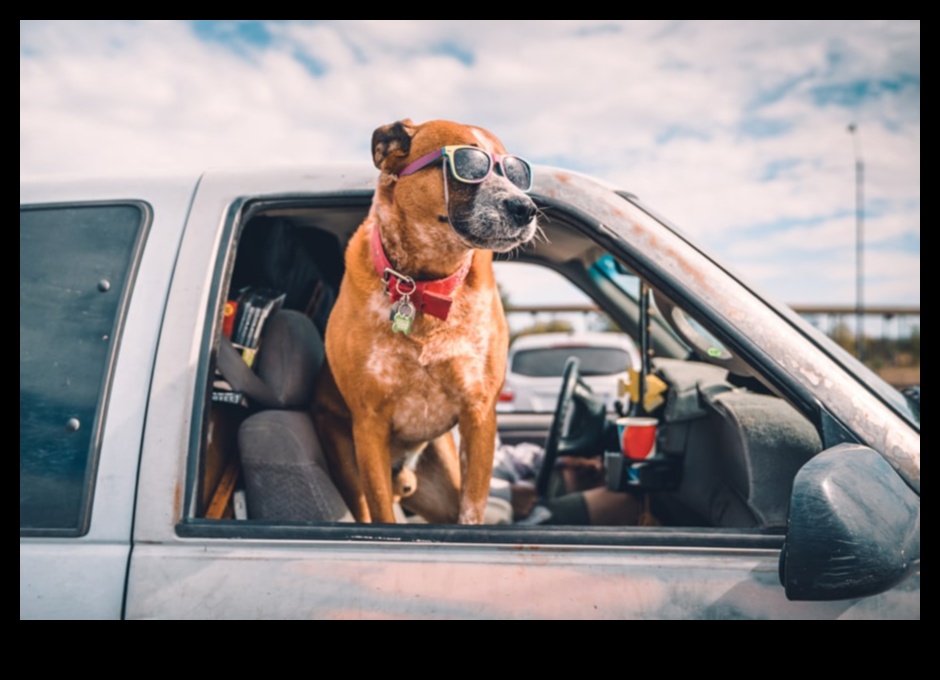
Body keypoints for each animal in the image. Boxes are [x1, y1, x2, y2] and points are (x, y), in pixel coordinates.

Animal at [314, 119, 536, 524]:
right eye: (469, 166)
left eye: (516, 174)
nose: (526, 208)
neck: (424, 286)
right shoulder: (368, 425)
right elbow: (383, 517)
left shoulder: (479, 414)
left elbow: (472, 511)